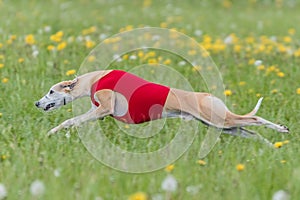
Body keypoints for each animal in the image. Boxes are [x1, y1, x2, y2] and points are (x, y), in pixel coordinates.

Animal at [35, 69, 288, 137]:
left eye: (50, 91)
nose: (37, 103)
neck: (92, 80)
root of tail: (207, 96)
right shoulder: (98, 111)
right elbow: (72, 121)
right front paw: (53, 133)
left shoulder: (104, 109)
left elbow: (71, 120)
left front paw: (53, 132)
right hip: (220, 125)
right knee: (249, 131)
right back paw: (271, 146)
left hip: (219, 120)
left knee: (254, 118)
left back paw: (282, 129)